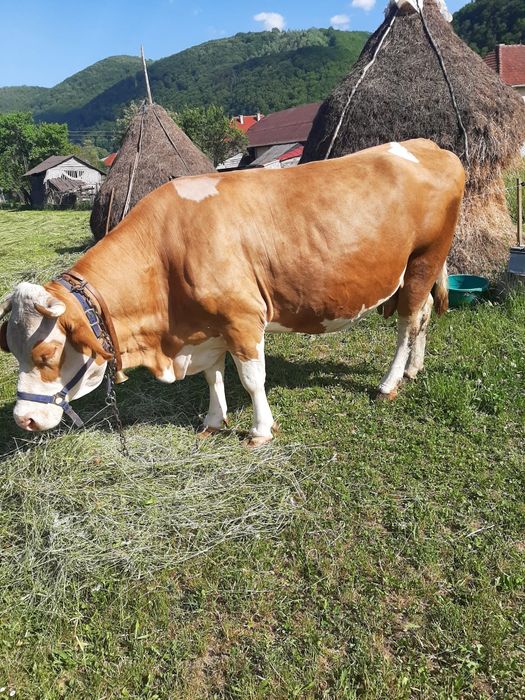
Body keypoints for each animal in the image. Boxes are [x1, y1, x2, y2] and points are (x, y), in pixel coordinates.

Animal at [0, 139, 465, 446]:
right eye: (13, 350)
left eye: (46, 355)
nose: (22, 420)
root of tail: (430, 146)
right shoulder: (208, 327)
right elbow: (212, 374)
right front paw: (213, 419)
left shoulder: (242, 318)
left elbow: (252, 378)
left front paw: (260, 430)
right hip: (421, 270)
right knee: (424, 315)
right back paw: (414, 369)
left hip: (423, 260)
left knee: (407, 323)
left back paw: (390, 382)